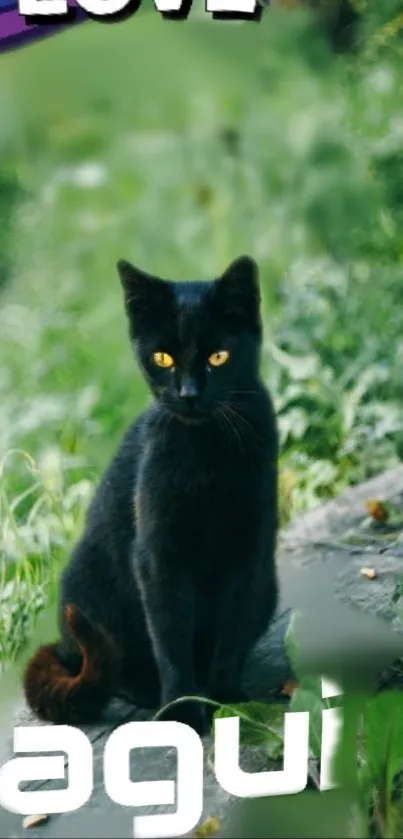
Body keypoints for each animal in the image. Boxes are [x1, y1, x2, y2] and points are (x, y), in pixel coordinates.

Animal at [23, 256, 280, 736]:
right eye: (162, 358)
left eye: (218, 357)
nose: (188, 394)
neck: (206, 455)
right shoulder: (158, 556)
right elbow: (171, 640)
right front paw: (183, 711)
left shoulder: (247, 552)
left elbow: (231, 633)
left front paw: (228, 700)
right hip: (87, 587)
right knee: (114, 665)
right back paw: (145, 689)